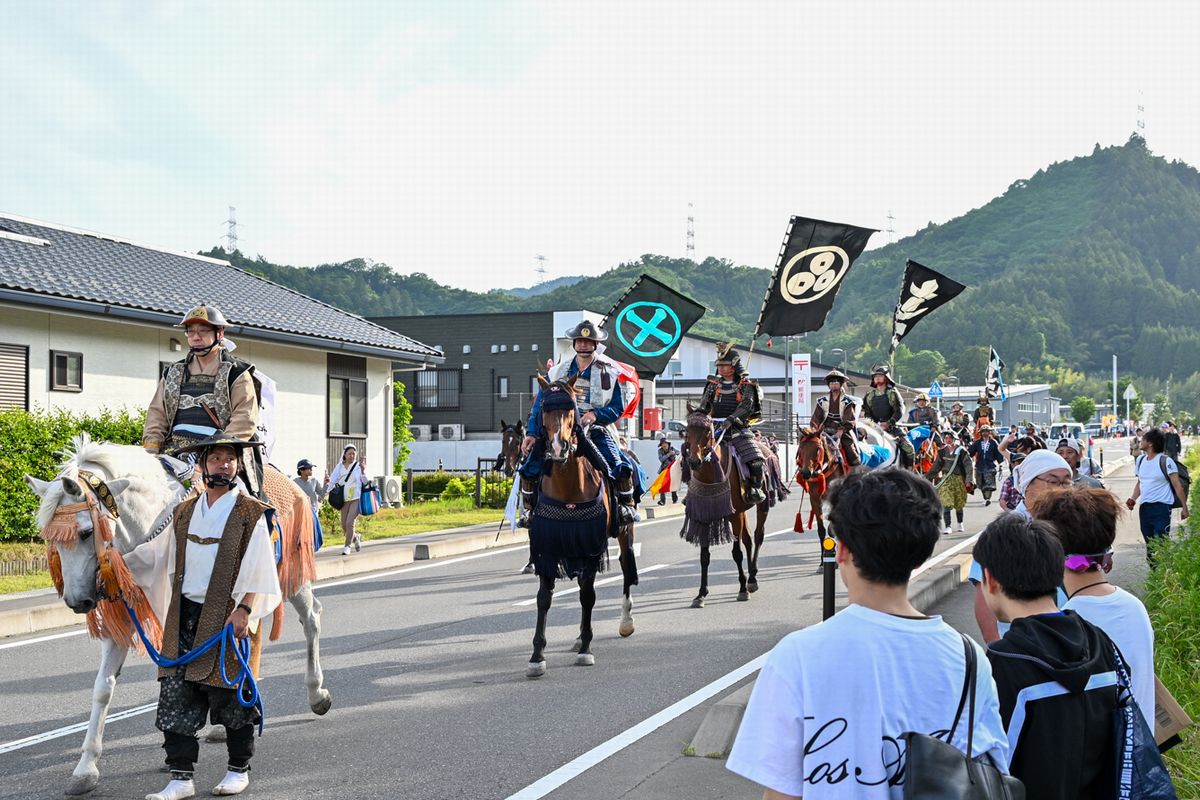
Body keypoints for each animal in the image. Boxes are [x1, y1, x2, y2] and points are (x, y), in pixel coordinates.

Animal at [25, 441, 333, 796]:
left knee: (310, 619)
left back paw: (316, 694)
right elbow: (104, 688)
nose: (78, 601)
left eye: (87, 533)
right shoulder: (129, 616)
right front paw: (86, 768)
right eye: (50, 538)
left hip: (287, 575)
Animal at [525, 379, 638, 681]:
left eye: (570, 409)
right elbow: (544, 599)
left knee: (626, 567)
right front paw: (537, 656)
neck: (568, 485)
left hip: (624, 530)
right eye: (544, 408)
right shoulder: (549, 546)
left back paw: (625, 622)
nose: (557, 446)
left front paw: (586, 649)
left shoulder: (590, 545)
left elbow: (588, 596)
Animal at [686, 407, 768, 606]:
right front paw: (701, 594)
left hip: (762, 504)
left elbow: (736, 552)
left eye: (707, 432)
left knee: (758, 536)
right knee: (748, 539)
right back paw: (750, 579)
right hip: (742, 511)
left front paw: (742, 589)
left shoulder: (734, 515)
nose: (694, 462)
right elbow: (704, 556)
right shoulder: (705, 515)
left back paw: (751, 579)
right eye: (687, 431)